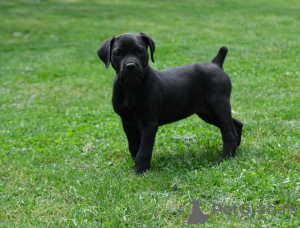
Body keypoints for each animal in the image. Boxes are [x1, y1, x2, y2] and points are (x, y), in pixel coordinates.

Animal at [97, 32, 243, 175]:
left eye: (140, 51)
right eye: (117, 53)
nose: (130, 66)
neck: (130, 88)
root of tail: (216, 64)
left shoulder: (149, 123)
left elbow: (144, 150)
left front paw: (140, 171)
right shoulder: (127, 122)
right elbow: (134, 146)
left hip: (219, 105)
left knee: (228, 134)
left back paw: (225, 159)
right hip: (207, 112)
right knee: (236, 123)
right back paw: (236, 148)